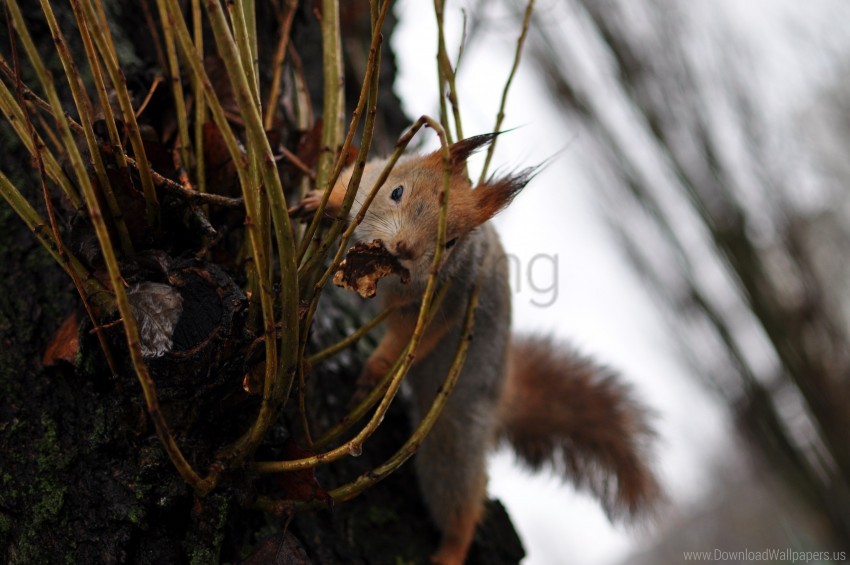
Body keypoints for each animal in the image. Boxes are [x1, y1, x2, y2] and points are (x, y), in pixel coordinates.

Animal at [294, 133, 660, 564]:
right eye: (396, 192)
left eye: (452, 242)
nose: (405, 249)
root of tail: (501, 400)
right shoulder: (371, 176)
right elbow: (349, 181)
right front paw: (320, 200)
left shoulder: (444, 302)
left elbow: (407, 340)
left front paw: (376, 368)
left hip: (454, 437)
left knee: (463, 504)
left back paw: (450, 552)